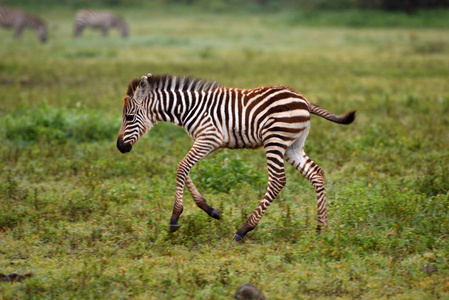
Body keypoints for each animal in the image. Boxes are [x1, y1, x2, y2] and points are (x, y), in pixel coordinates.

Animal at [117, 73, 356, 241]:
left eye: (129, 117)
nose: (120, 147)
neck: (188, 109)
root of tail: (304, 100)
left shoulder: (209, 138)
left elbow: (182, 167)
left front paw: (175, 219)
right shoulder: (203, 141)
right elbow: (184, 170)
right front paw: (211, 210)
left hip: (275, 139)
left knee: (277, 180)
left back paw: (244, 229)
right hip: (292, 146)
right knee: (317, 174)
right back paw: (321, 229)